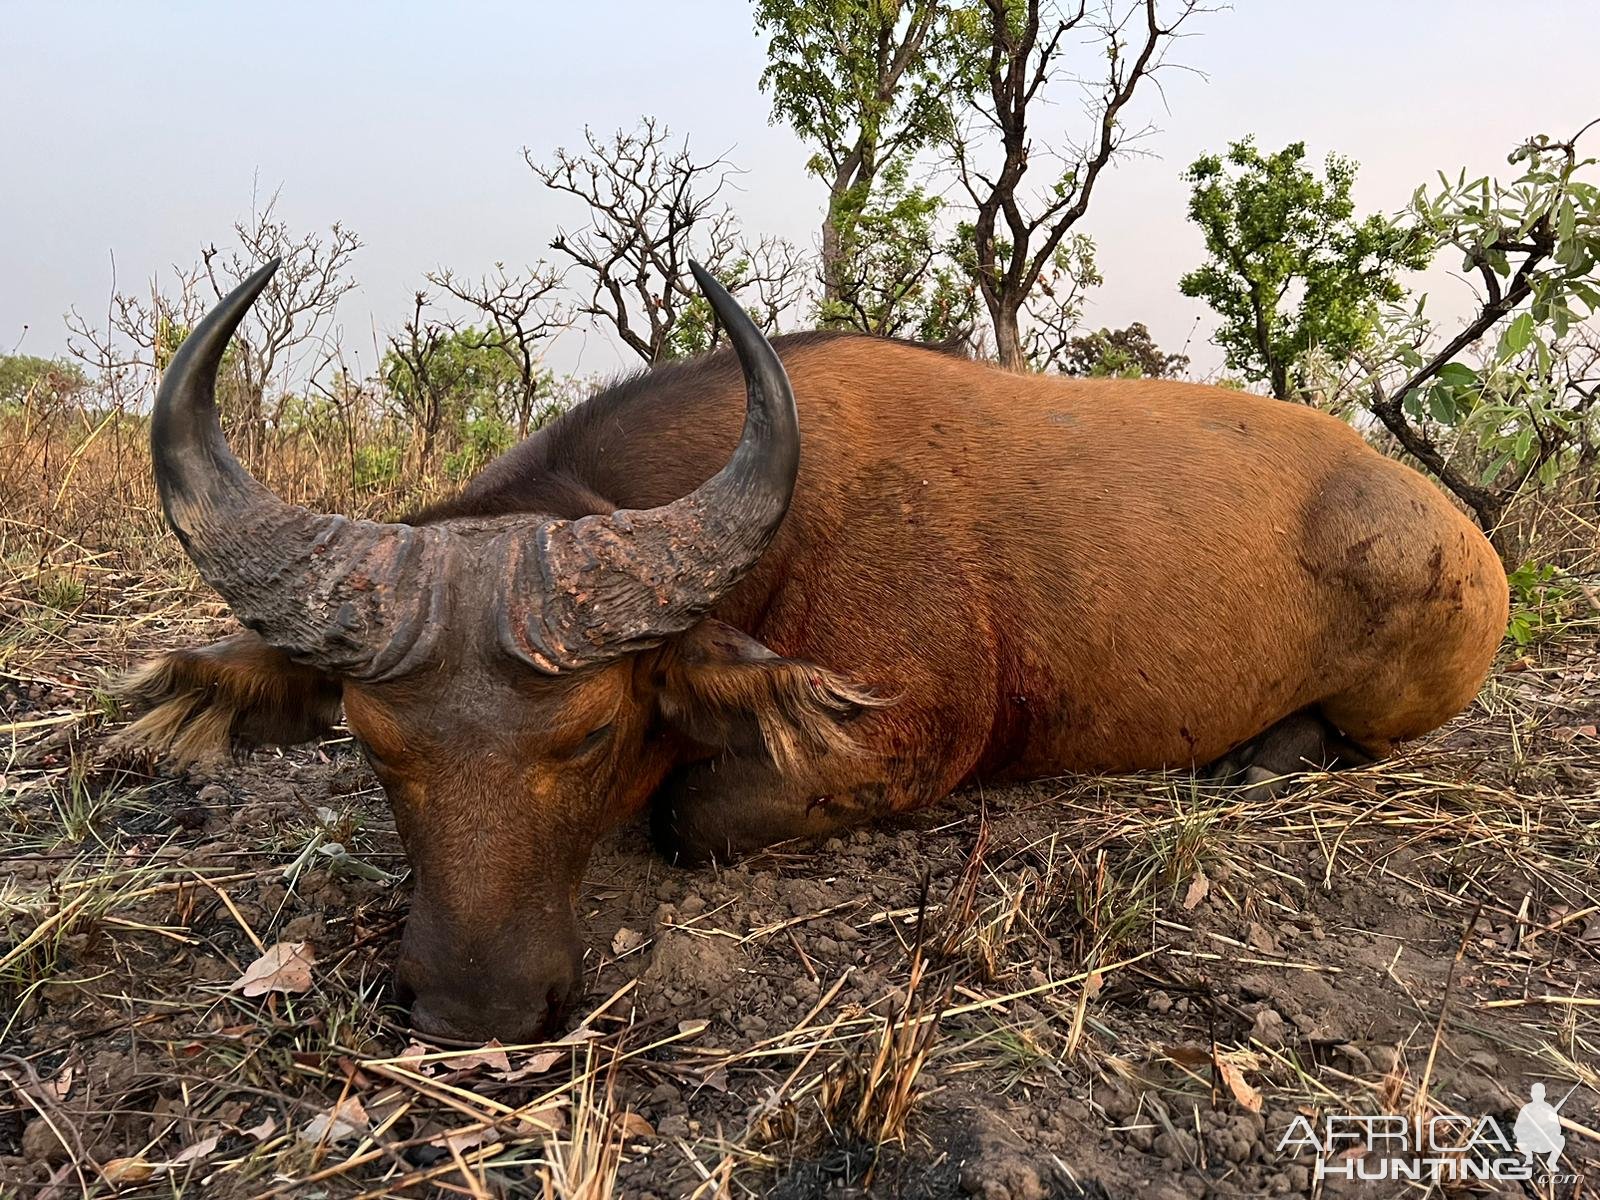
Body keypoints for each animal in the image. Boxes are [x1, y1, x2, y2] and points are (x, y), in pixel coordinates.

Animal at [121, 260, 1497, 1043]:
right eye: (370, 741)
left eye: (593, 732)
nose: (475, 1012)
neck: (780, 523)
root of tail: (1450, 530)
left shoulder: (898, 746)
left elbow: (688, 816)